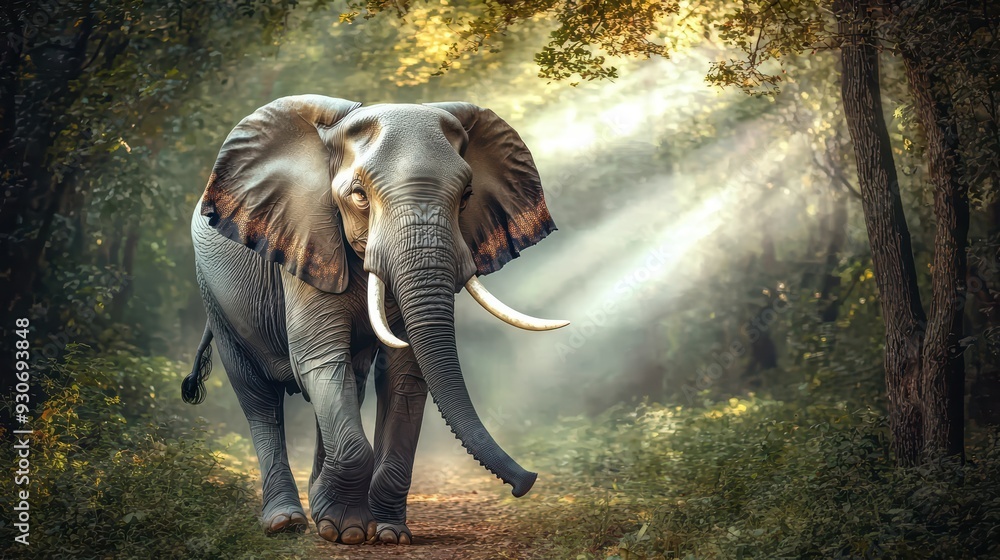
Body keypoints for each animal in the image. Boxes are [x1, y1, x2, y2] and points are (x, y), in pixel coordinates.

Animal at [182, 95, 568, 545]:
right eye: (359, 196)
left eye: (467, 195)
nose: (527, 481)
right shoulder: (306, 241)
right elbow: (319, 359)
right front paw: (346, 532)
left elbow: (403, 373)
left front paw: (387, 533)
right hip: (214, 296)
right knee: (258, 396)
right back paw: (286, 522)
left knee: (350, 381)